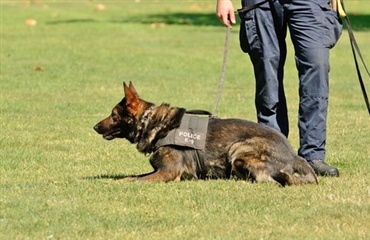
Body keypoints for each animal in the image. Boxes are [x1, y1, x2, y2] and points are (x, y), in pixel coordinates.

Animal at [94, 82, 316, 186]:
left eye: (113, 115)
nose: (95, 127)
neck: (154, 123)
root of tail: (294, 155)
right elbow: (131, 176)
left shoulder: (168, 172)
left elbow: (136, 180)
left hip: (238, 150)